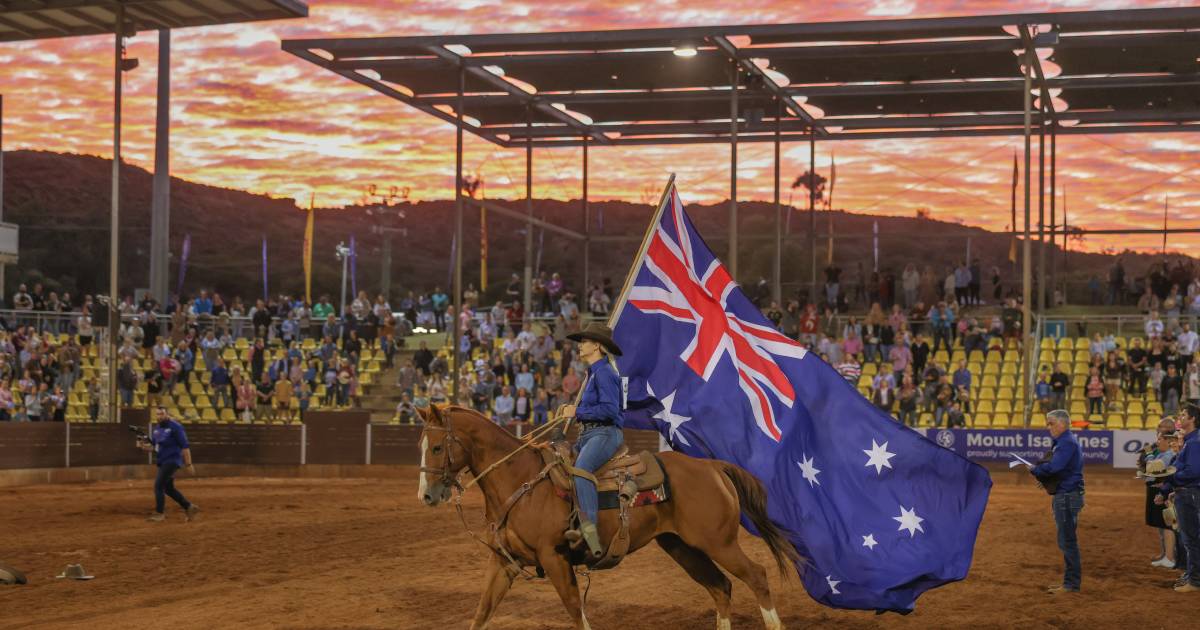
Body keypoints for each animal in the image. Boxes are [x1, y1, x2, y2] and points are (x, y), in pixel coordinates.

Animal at [417, 405, 801, 624]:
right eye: (423, 445)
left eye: (436, 447)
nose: (426, 495)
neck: (520, 479)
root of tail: (711, 466)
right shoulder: (503, 563)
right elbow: (481, 613)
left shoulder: (554, 558)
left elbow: (576, 611)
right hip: (681, 546)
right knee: (720, 588)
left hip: (718, 543)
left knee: (757, 577)